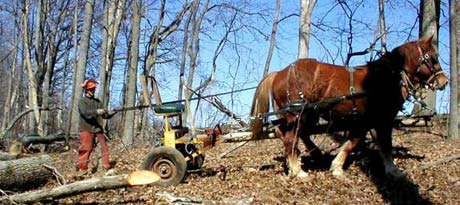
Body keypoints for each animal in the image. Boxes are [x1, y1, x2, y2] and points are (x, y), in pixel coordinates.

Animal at [250, 36, 448, 179]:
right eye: (433, 58)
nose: (444, 81)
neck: (385, 77)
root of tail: (278, 73)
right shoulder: (381, 119)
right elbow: (381, 144)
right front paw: (393, 170)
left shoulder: (367, 120)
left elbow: (355, 142)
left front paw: (336, 166)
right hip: (297, 114)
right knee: (291, 139)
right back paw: (298, 171)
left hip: (305, 115)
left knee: (288, 133)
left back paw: (299, 161)